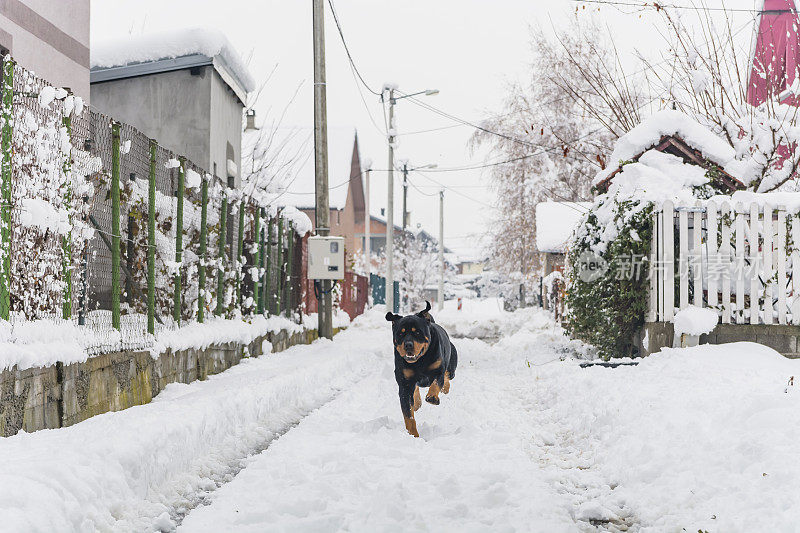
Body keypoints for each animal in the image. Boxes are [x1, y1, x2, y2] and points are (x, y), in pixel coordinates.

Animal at [386, 300, 456, 436]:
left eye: (417, 332)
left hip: (452, 366)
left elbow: (436, 383)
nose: (408, 344)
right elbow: (408, 414)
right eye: (401, 333)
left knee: (447, 376)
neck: (420, 361)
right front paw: (413, 435)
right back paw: (417, 401)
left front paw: (432, 397)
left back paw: (445, 388)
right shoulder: (404, 384)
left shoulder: (438, 370)